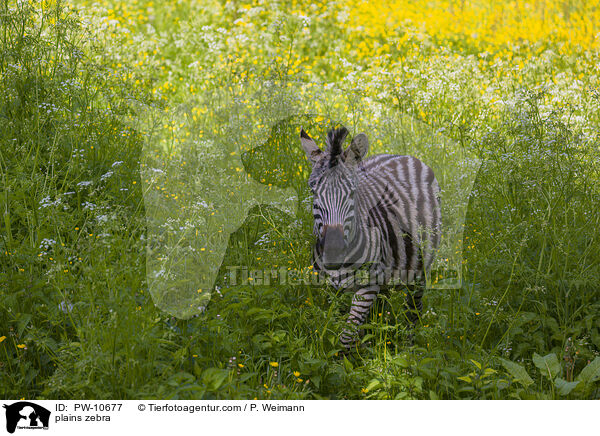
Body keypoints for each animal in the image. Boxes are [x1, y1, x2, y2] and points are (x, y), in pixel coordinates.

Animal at [300, 125, 440, 350]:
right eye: (313, 191)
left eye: (352, 192)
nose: (333, 252)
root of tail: (399, 155)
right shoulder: (331, 289)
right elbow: (336, 327)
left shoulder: (367, 287)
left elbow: (345, 338)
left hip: (420, 268)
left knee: (414, 309)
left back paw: (409, 347)